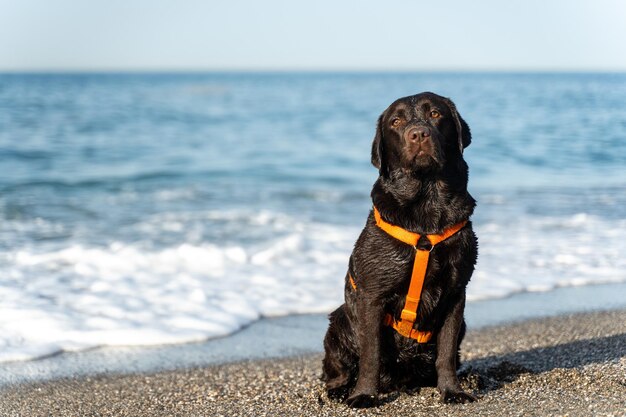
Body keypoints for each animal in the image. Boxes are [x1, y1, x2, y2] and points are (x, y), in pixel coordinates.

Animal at [320, 91, 476, 406]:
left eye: (435, 114)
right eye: (396, 121)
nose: (419, 134)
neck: (427, 203)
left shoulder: (456, 293)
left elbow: (446, 352)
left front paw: (452, 390)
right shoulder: (371, 297)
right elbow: (371, 354)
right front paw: (364, 395)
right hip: (339, 320)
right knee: (338, 367)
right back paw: (339, 390)